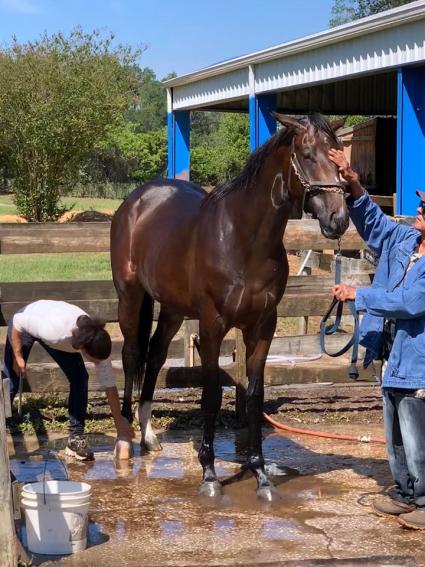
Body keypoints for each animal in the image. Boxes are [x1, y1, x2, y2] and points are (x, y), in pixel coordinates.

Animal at [111, 112, 350, 502]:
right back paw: (124, 442)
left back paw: (147, 437)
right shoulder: (212, 325)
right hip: (130, 295)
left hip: (174, 309)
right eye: (307, 154)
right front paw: (209, 475)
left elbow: (253, 394)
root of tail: (137, 200)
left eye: (338, 154)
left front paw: (260, 474)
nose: (338, 219)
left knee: (156, 354)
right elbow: (210, 395)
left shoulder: (262, 328)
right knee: (132, 355)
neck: (243, 239)